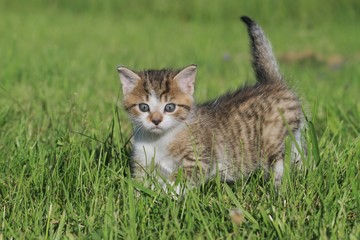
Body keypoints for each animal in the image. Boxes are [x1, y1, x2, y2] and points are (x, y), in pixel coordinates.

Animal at [116, 15, 306, 192]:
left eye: (170, 107)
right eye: (144, 107)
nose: (156, 120)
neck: (159, 140)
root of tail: (272, 83)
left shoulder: (197, 160)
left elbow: (176, 184)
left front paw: (165, 196)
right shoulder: (143, 162)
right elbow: (140, 185)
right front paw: (142, 197)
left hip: (277, 141)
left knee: (281, 164)